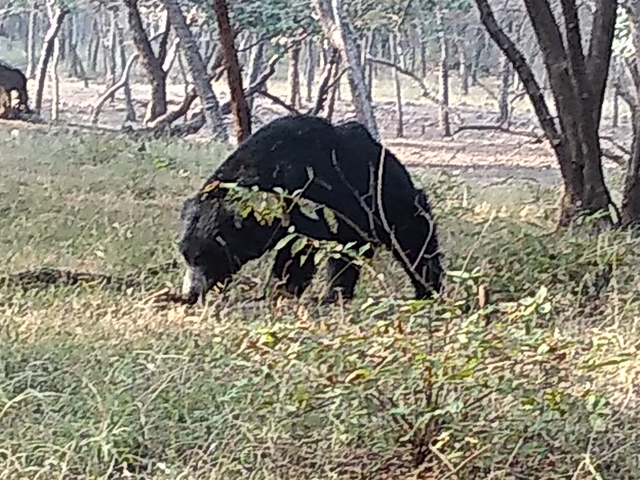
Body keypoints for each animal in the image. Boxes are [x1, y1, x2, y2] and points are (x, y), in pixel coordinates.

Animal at [178, 114, 444, 305]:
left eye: (206, 255)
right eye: (185, 255)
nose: (189, 293)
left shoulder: (307, 198)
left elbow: (299, 250)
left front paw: (279, 290)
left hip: (387, 203)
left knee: (414, 240)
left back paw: (426, 289)